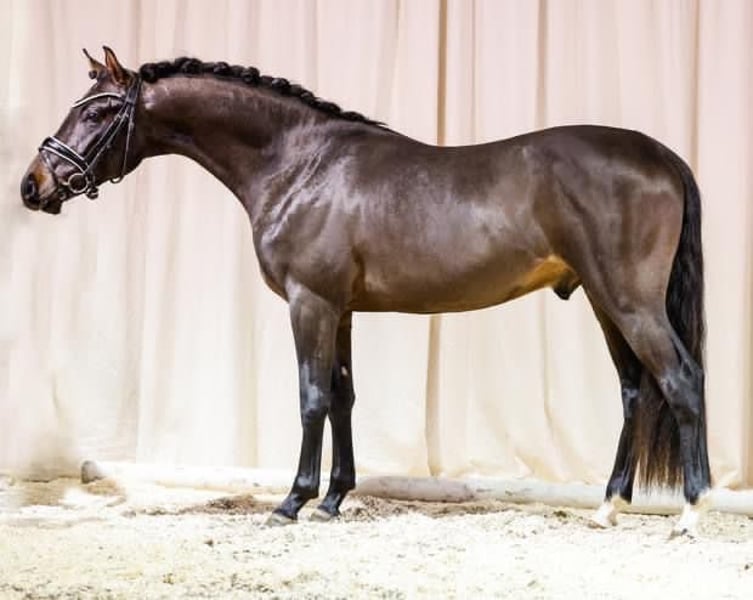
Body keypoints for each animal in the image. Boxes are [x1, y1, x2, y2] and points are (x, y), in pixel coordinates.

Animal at [21, 47, 711, 536]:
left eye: (96, 111)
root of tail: (661, 156)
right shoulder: (342, 309)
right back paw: (609, 507)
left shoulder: (310, 302)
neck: (300, 165)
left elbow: (311, 398)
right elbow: (343, 398)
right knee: (634, 390)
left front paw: (292, 501)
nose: (33, 185)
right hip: (603, 301)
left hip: (629, 301)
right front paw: (332, 500)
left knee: (680, 380)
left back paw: (692, 510)